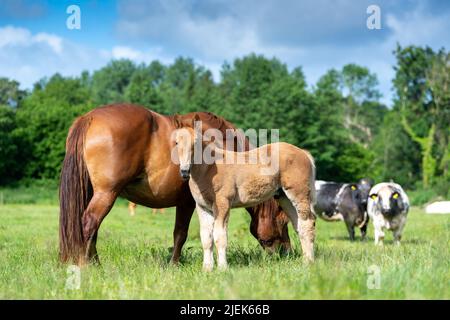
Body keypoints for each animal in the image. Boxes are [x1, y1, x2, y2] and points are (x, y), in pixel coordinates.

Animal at [59, 103, 290, 264]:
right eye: (283, 221)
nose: (287, 253)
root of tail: (89, 117)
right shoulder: (189, 203)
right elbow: (182, 234)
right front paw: (175, 264)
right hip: (106, 194)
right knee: (89, 223)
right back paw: (90, 265)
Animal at [172, 118, 316, 270]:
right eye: (176, 142)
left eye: (195, 142)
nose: (184, 171)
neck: (209, 169)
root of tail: (303, 153)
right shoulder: (202, 207)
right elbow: (206, 238)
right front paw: (207, 269)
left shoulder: (222, 204)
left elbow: (220, 236)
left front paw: (222, 268)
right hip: (284, 198)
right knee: (299, 225)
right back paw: (305, 262)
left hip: (299, 194)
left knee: (307, 223)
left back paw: (309, 263)